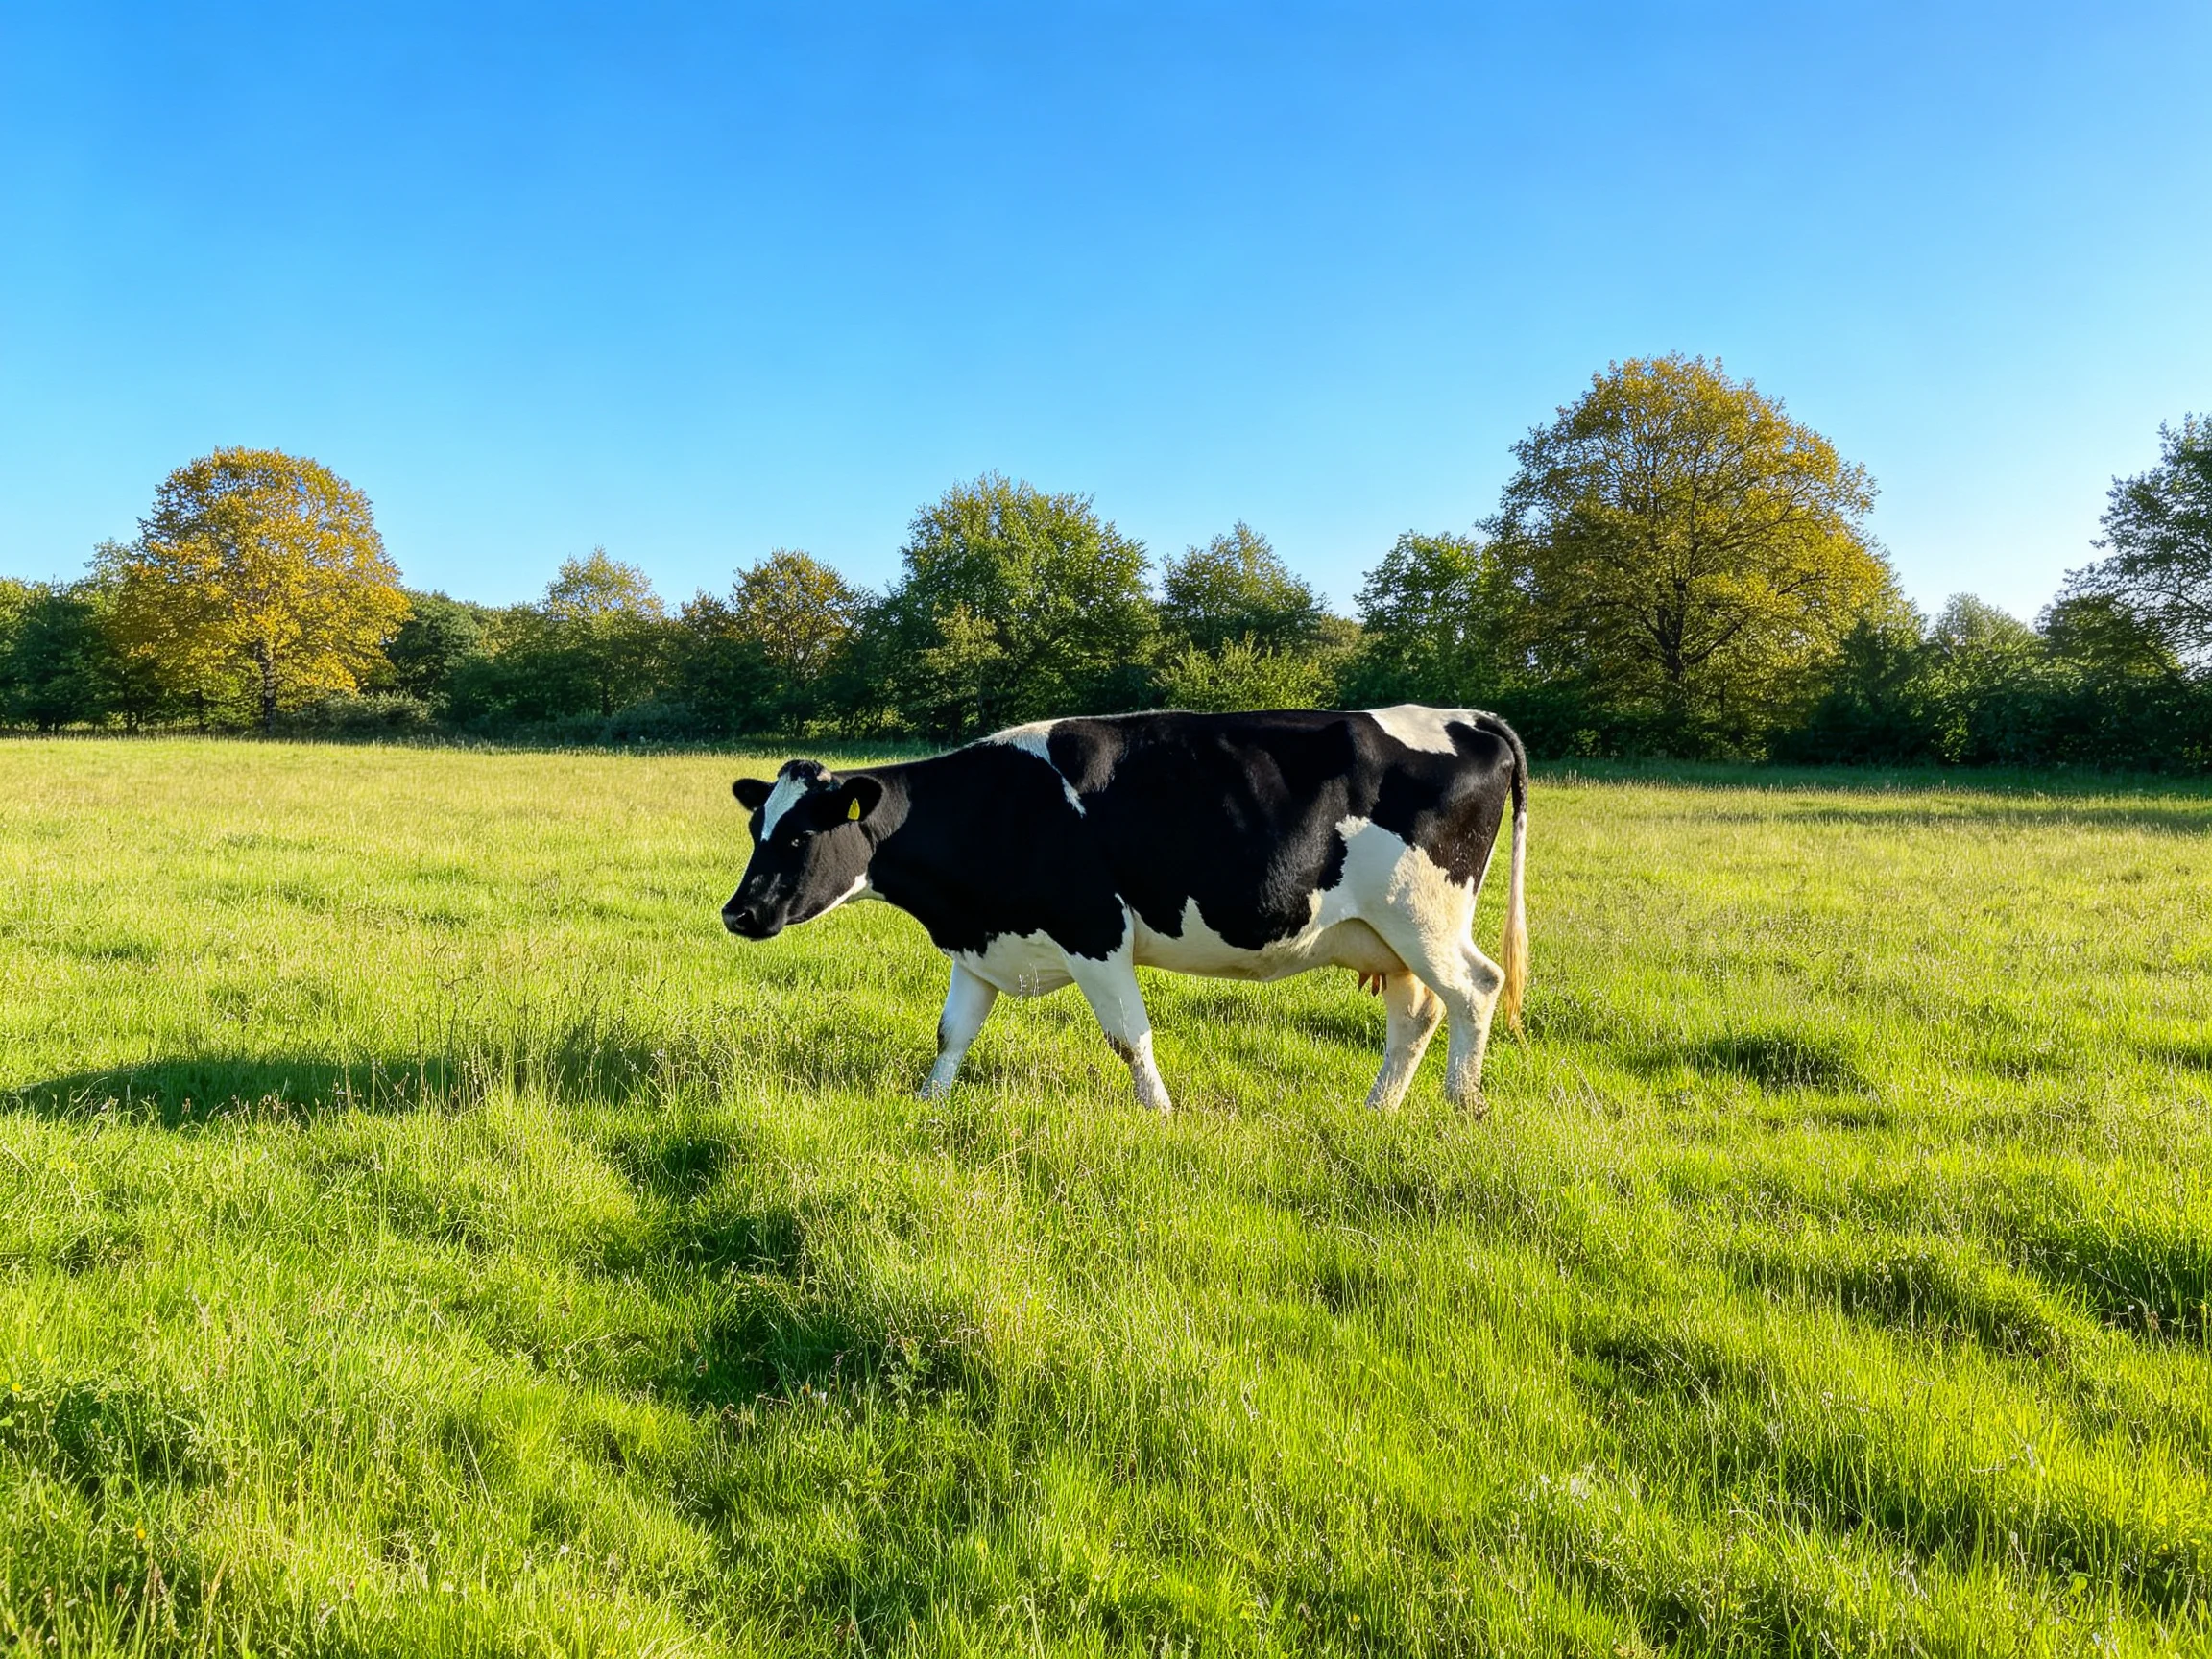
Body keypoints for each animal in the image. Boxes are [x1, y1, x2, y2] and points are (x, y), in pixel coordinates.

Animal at [721, 705, 1528, 1115]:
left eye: (799, 836)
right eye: (757, 826)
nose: (737, 914)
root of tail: (1467, 717)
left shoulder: (1095, 933)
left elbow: (1128, 1037)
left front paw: (1160, 1115)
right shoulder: (983, 942)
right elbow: (952, 1033)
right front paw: (928, 1104)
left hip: (1423, 918)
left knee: (1476, 990)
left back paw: (1461, 1108)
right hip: (1385, 935)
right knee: (1417, 1014)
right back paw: (1377, 1112)